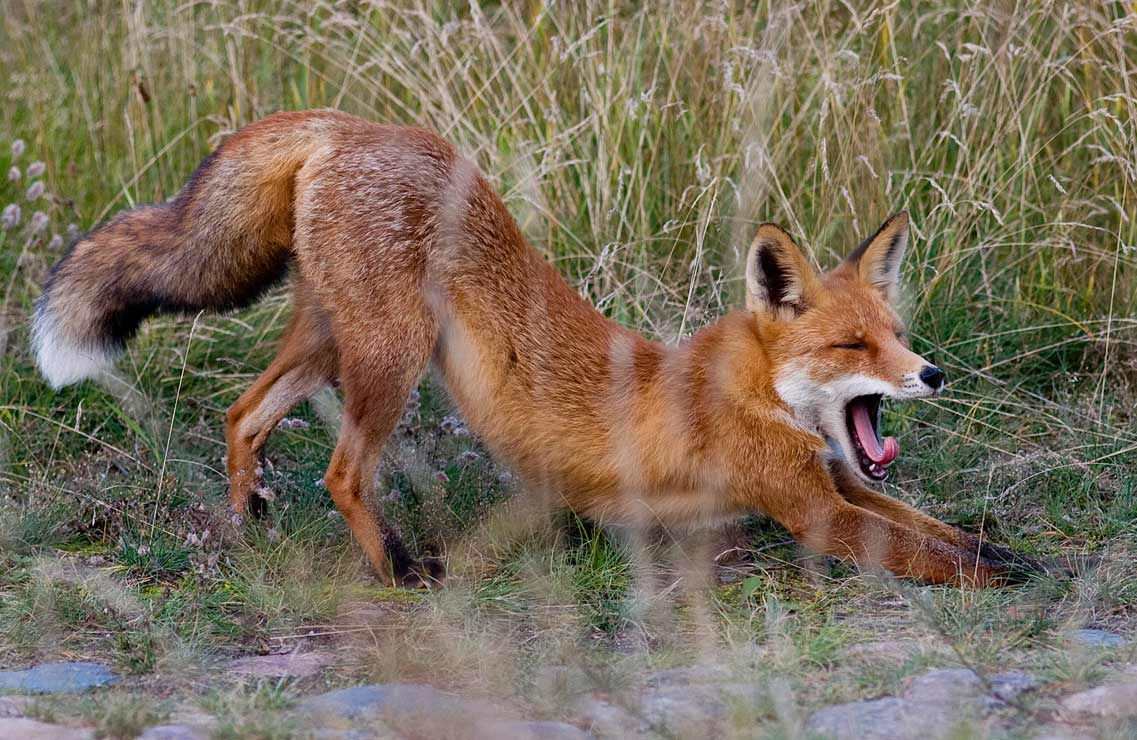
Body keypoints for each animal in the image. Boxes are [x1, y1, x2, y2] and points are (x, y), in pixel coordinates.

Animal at [34, 110, 1039, 588]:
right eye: (850, 344)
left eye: (898, 337)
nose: (930, 374)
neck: (753, 392)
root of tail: (356, 125)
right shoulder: (812, 509)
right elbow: (930, 555)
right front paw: (1007, 577)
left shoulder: (837, 483)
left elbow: (940, 529)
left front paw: (1012, 553)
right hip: (391, 355)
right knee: (341, 471)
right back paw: (398, 570)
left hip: (329, 335)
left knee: (242, 412)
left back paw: (248, 518)